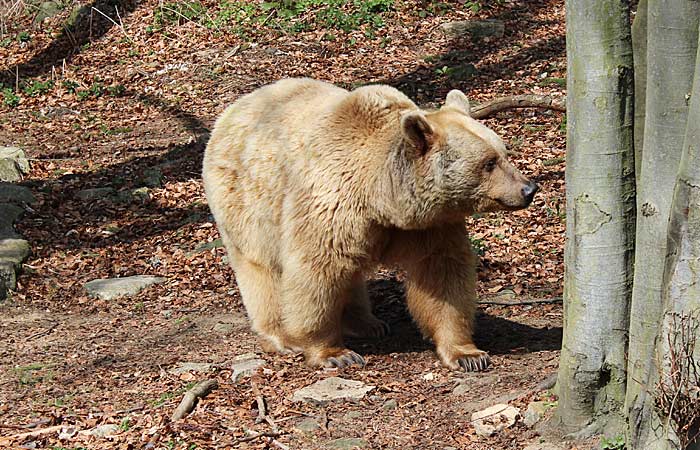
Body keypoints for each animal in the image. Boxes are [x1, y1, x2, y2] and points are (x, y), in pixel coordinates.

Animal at [202, 78, 538, 371]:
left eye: (504, 152)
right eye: (489, 163)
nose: (529, 189)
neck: (379, 197)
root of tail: (233, 110)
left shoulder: (429, 225)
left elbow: (442, 275)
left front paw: (468, 354)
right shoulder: (330, 205)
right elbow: (316, 273)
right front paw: (333, 353)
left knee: (349, 273)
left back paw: (367, 323)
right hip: (247, 202)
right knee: (263, 270)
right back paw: (282, 335)